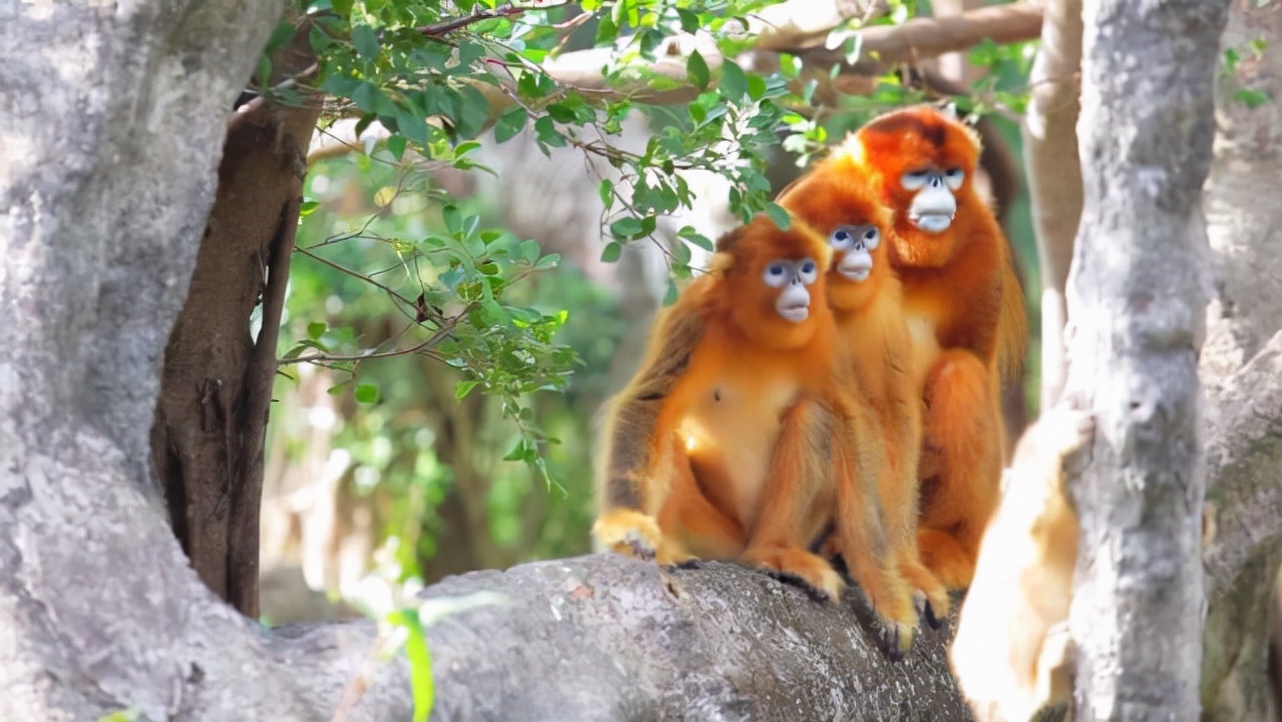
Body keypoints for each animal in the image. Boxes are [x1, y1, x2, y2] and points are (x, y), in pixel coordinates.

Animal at [851, 107, 1030, 592]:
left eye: (951, 174)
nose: (938, 187)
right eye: (919, 175)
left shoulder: (984, 239)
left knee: (961, 372)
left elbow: (974, 357)